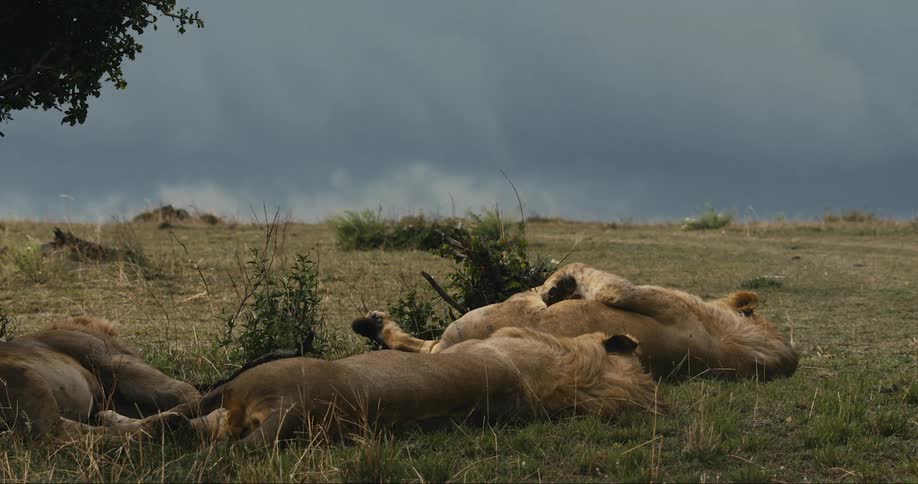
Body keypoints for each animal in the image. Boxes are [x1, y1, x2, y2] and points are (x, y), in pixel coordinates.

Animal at [0, 317, 201, 440]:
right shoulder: (116, 364)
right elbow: (186, 391)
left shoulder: (108, 398)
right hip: (28, 381)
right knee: (67, 436)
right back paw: (165, 426)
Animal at [353, 263, 798, 380]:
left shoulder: (635, 294)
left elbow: (578, 270)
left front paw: (556, 289)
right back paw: (370, 325)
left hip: (480, 316)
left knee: (421, 345)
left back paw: (372, 323)